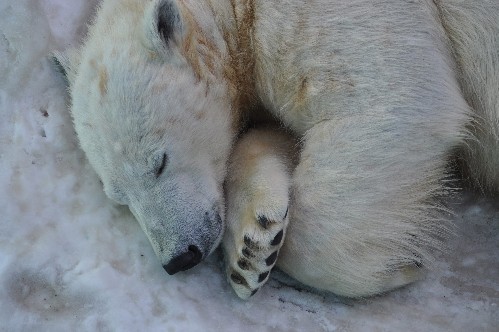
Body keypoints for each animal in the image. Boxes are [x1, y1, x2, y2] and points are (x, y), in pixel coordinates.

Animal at [52, 0, 498, 300]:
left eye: (158, 163)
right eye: (119, 196)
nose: (180, 257)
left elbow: (391, 103)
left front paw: (398, 265)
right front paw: (250, 251)